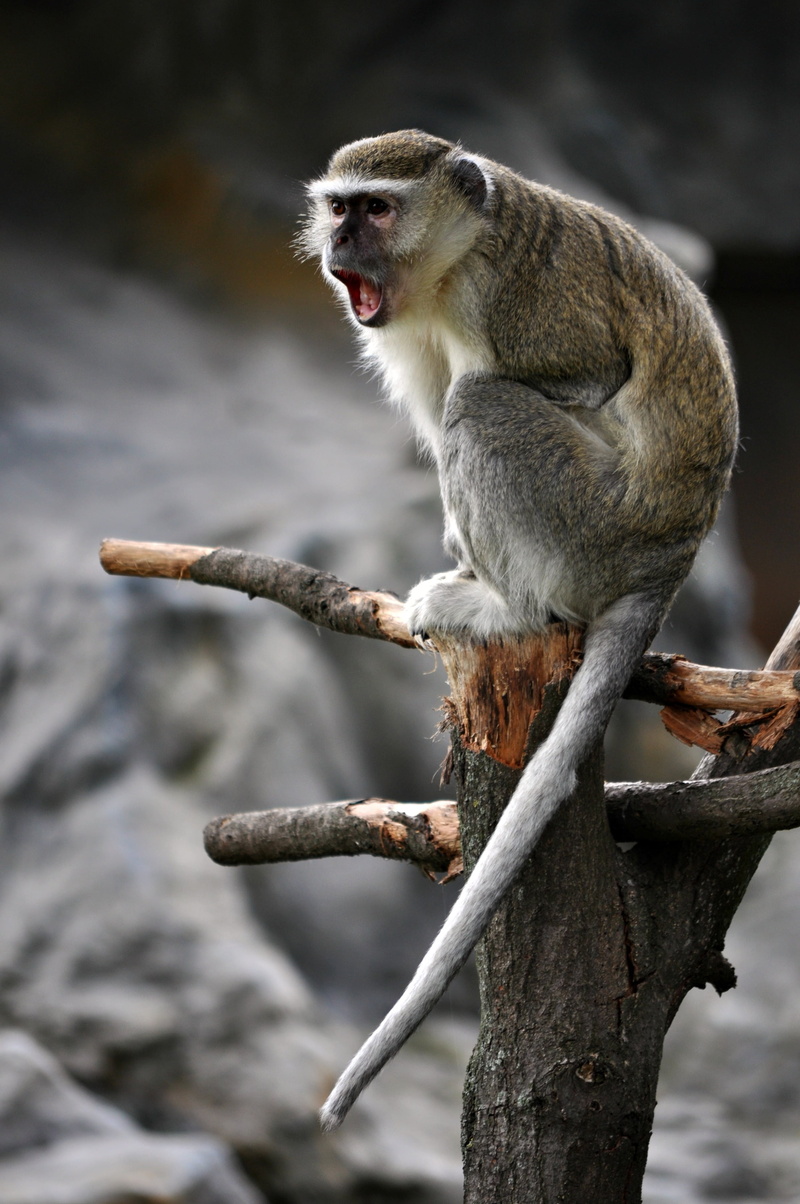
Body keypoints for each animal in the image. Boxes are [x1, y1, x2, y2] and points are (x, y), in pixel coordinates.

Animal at [299, 129, 738, 1132]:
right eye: (339, 206)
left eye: (375, 208)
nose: (341, 244)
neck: (451, 260)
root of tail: (672, 553)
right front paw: (455, 547)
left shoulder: (518, 300)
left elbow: (581, 377)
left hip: (591, 524)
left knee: (484, 402)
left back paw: (512, 609)